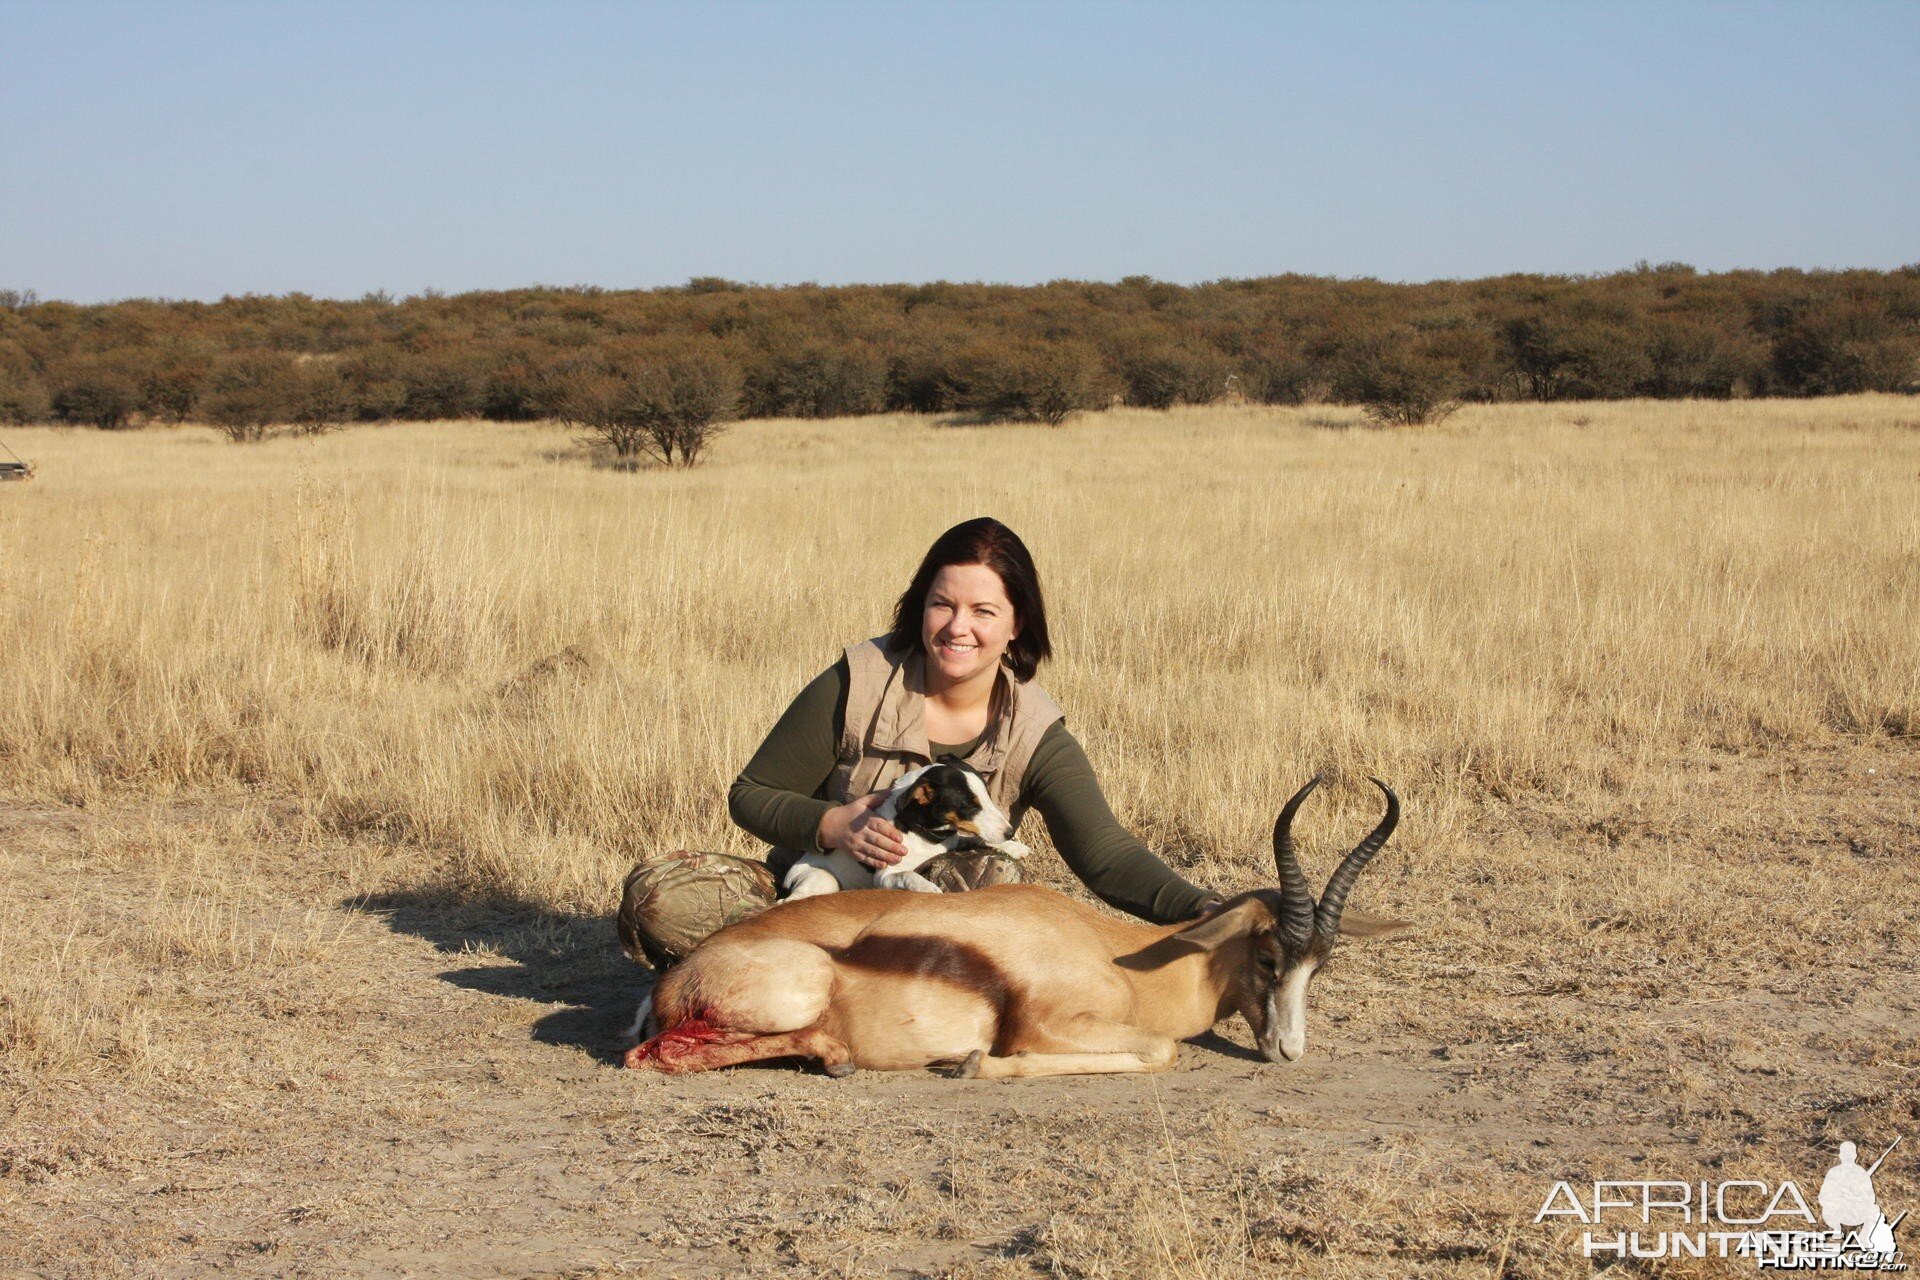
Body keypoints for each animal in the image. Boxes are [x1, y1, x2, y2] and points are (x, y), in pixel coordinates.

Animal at [779, 759, 1029, 901]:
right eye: (969, 806)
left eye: (986, 795)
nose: (1009, 832)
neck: (921, 833)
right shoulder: (885, 876)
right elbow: (908, 875)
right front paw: (927, 887)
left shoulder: (954, 840)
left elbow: (976, 839)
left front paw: (1013, 847)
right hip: (823, 879)